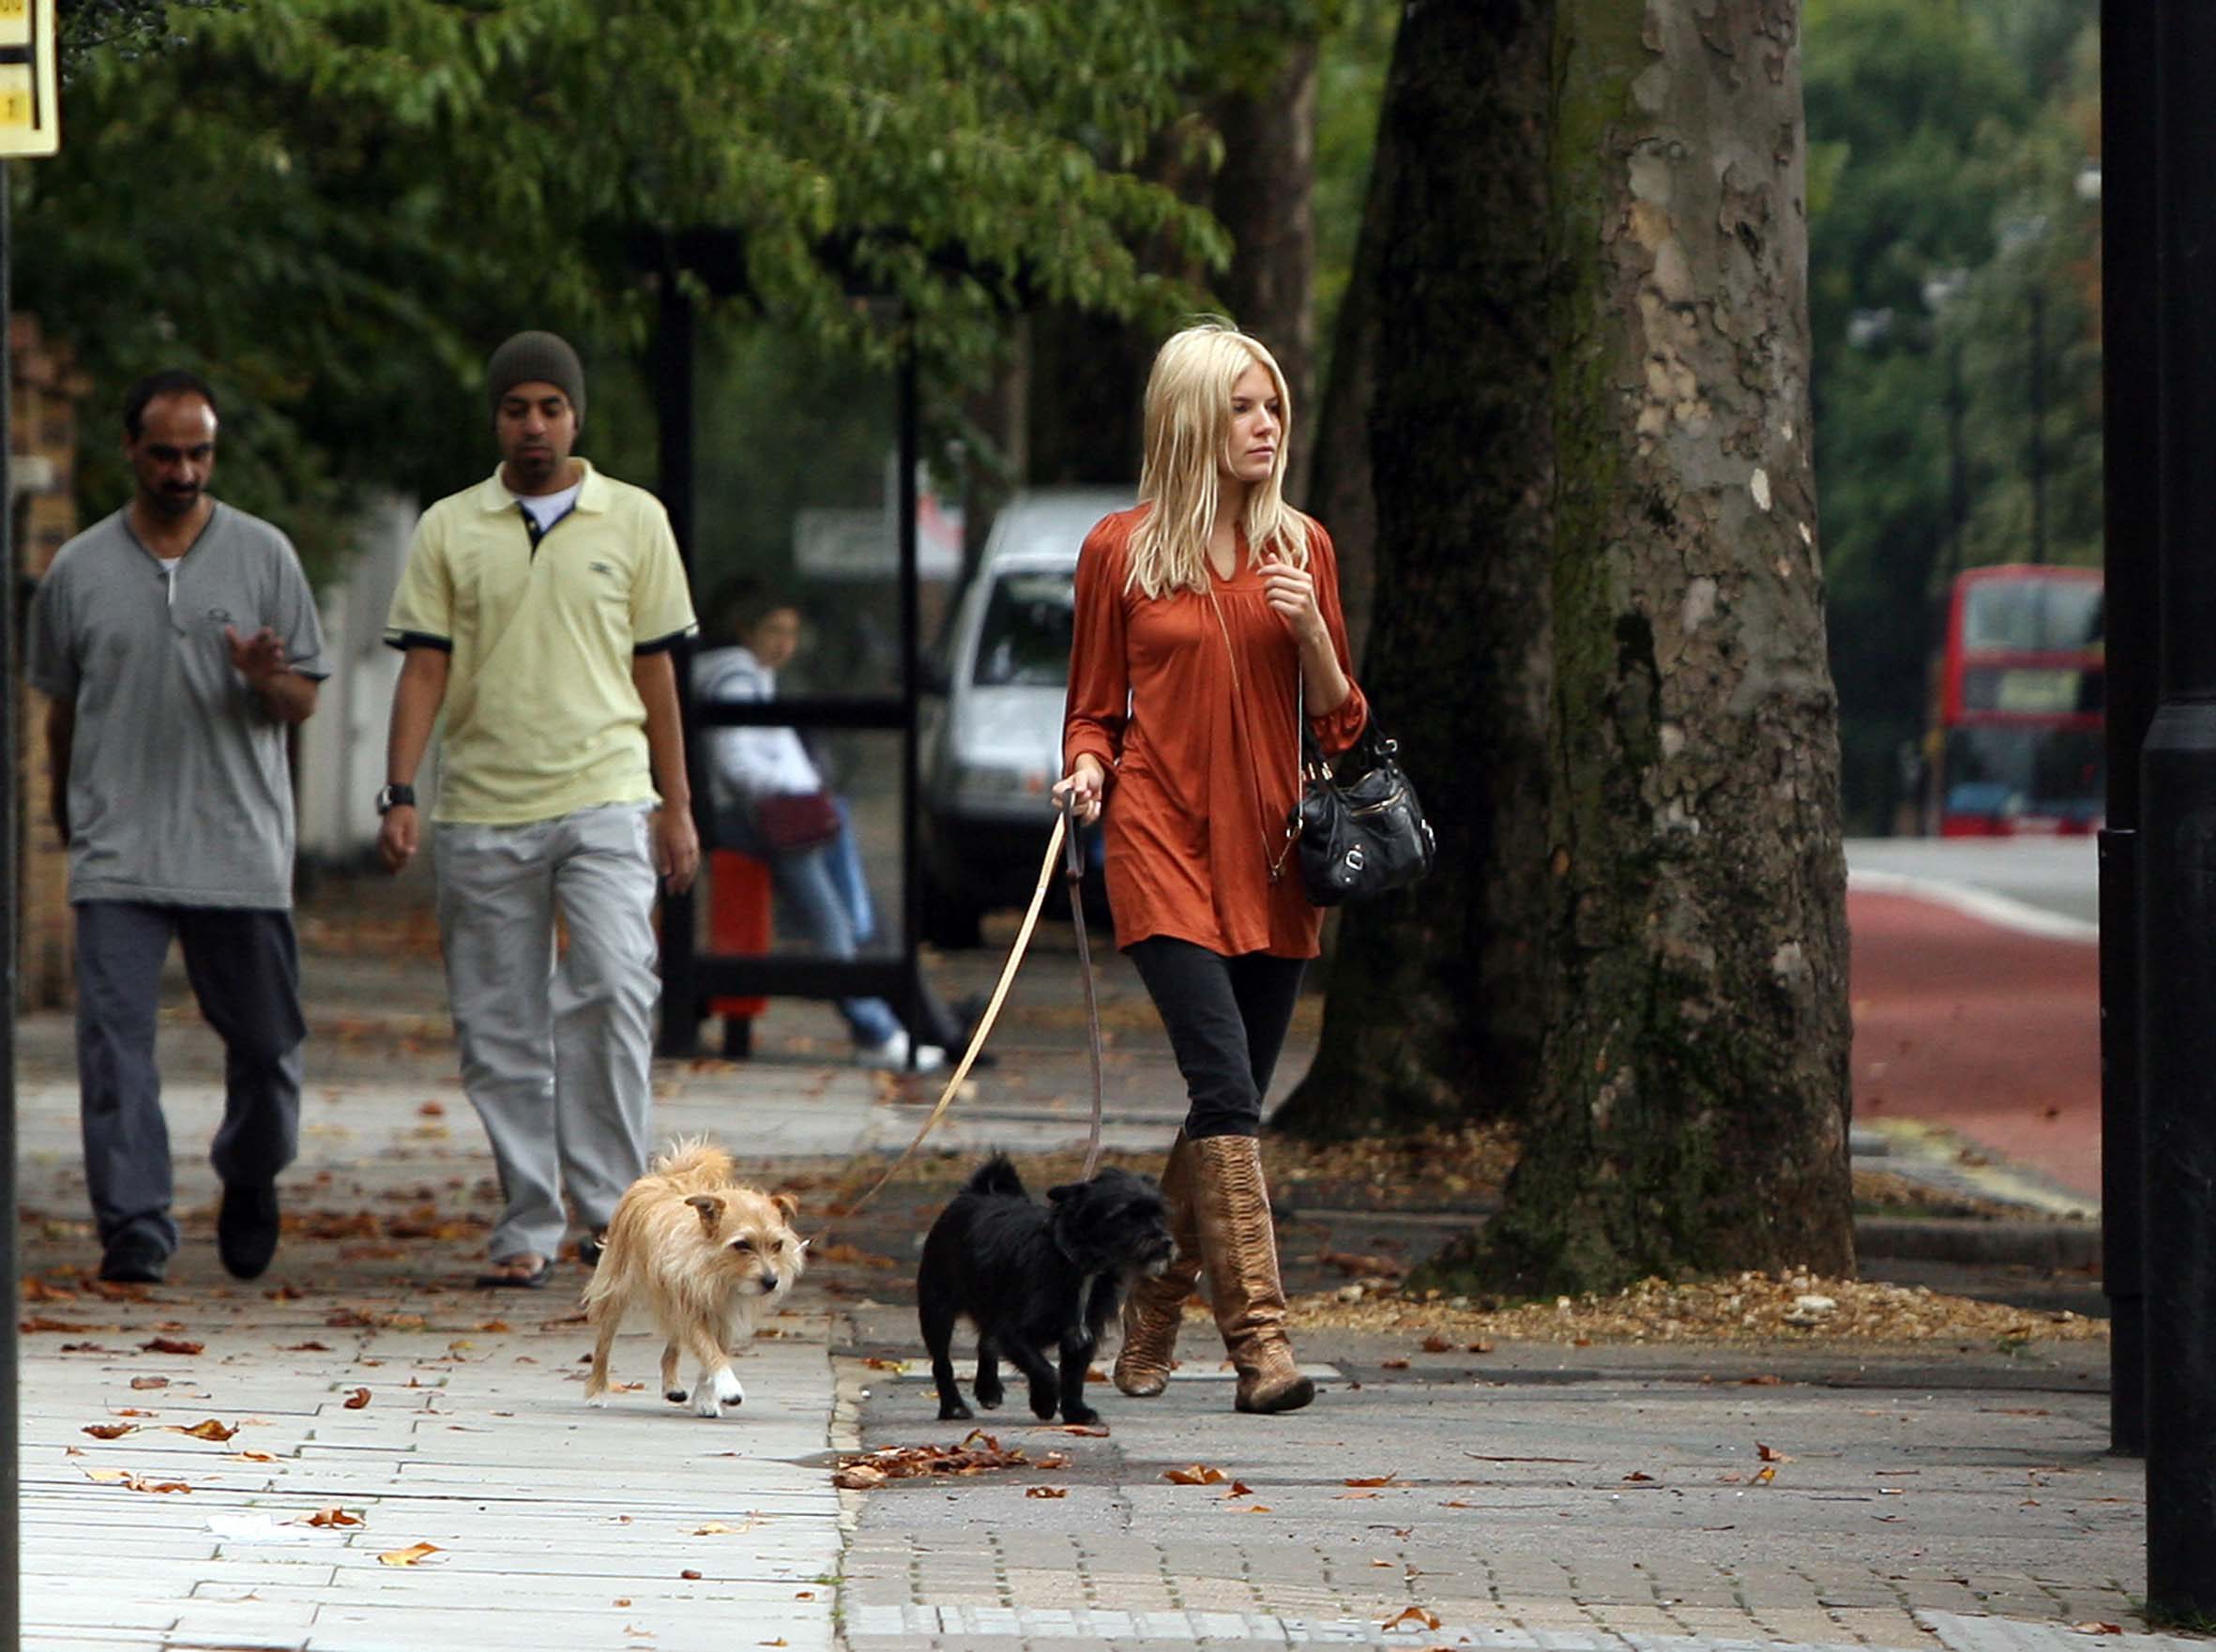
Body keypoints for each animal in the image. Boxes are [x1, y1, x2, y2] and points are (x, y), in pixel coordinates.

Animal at [580, 1133, 806, 1417]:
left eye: (777, 1245)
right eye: (742, 1244)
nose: (771, 1282)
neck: (720, 1272)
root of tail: (669, 1176)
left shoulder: (724, 1317)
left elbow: (712, 1357)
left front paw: (707, 1399)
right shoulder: (693, 1314)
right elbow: (711, 1353)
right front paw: (729, 1387)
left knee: (672, 1347)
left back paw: (672, 1385)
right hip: (616, 1291)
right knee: (603, 1344)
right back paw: (596, 1392)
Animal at [921, 1151, 1188, 1426]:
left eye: (1159, 1214)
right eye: (1125, 1215)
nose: (1165, 1242)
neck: (1080, 1264)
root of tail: (976, 1192)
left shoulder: (1083, 1334)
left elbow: (1073, 1376)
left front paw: (1075, 1412)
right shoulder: (1012, 1331)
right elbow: (1045, 1370)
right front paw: (1045, 1402)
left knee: (986, 1341)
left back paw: (988, 1389)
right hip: (936, 1308)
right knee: (942, 1361)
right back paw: (953, 1406)